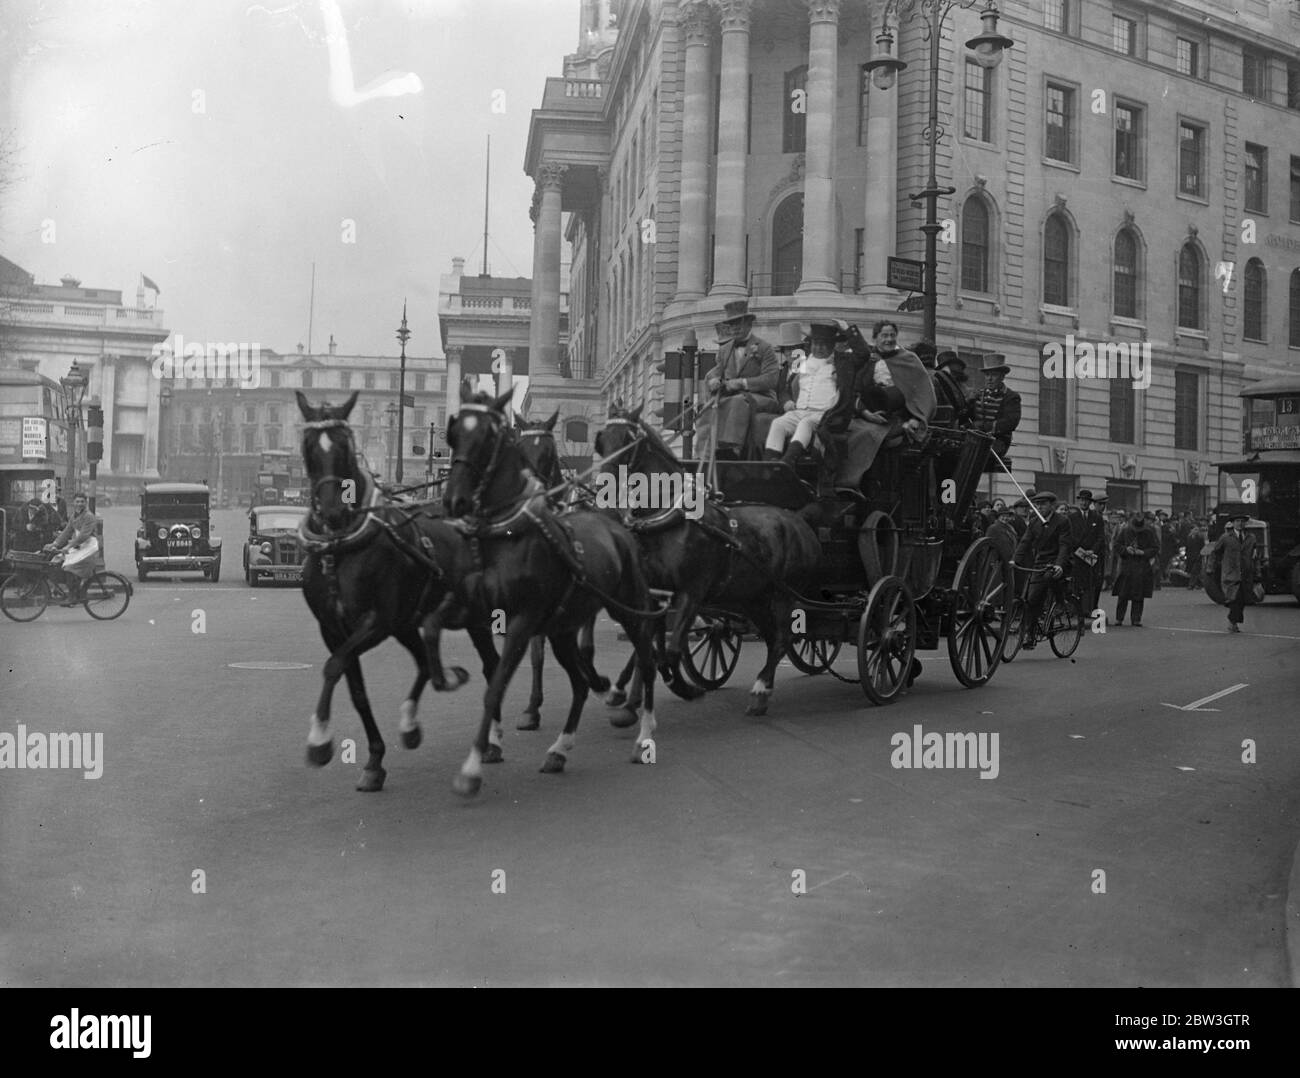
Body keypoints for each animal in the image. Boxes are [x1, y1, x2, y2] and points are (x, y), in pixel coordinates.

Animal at [297, 390, 499, 785]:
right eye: (309, 447)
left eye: (344, 446)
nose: (333, 512)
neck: (339, 550)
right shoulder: (334, 628)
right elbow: (355, 689)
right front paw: (374, 759)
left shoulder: (377, 622)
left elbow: (334, 665)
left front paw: (319, 740)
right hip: (408, 621)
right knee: (423, 663)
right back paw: (413, 720)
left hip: (472, 618)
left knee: (492, 665)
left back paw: (492, 739)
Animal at [441, 390, 660, 795]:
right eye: (454, 433)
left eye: (489, 438)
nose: (454, 501)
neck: (507, 535)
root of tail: (615, 523)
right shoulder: (491, 621)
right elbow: (506, 669)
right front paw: (513, 724)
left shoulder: (525, 619)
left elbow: (498, 683)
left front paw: (473, 765)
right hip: (565, 624)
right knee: (580, 680)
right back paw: (564, 743)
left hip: (629, 607)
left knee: (648, 657)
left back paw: (641, 729)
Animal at [592, 403, 816, 712]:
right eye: (601, 440)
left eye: (629, 440)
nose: (602, 489)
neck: (668, 514)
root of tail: (799, 521)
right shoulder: (656, 594)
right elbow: (649, 647)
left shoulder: (692, 592)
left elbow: (671, 651)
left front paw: (683, 687)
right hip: (753, 598)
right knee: (772, 638)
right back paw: (764, 689)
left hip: (783, 594)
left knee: (783, 637)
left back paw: (760, 688)